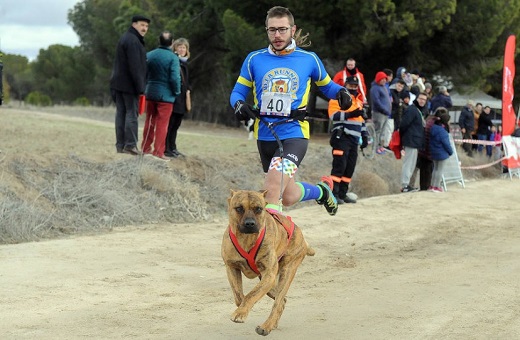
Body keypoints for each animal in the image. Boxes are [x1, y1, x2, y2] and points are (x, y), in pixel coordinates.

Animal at [221, 190, 314, 336]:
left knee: (278, 303)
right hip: (268, 282)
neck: (246, 239)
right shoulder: (232, 268)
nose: (250, 223)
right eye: (239, 208)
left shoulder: (269, 274)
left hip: (286, 273)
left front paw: (241, 312)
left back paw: (266, 326)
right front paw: (242, 308)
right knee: (282, 301)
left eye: (259, 209)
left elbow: (251, 295)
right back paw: (272, 324)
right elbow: (239, 296)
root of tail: (302, 237)